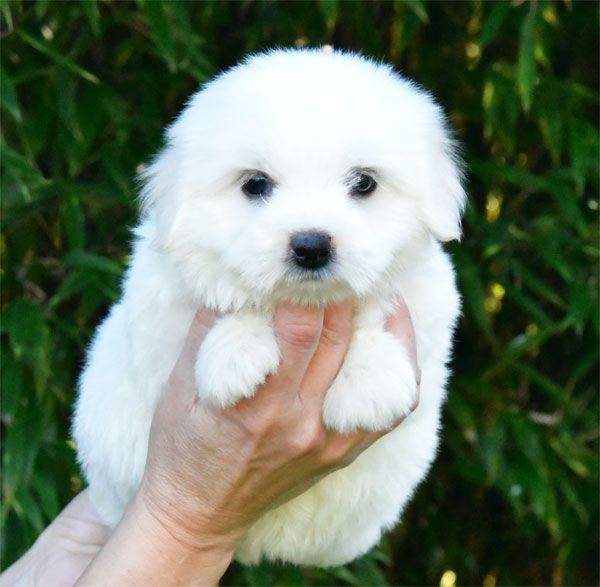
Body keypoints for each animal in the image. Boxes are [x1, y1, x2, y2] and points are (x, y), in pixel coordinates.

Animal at [74, 50, 464, 568]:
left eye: (364, 183)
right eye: (255, 184)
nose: (311, 245)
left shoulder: (432, 298)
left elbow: (383, 313)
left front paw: (369, 382)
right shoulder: (158, 310)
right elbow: (225, 304)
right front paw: (235, 353)